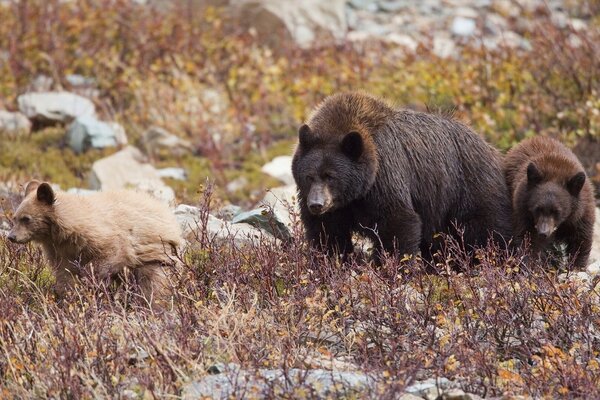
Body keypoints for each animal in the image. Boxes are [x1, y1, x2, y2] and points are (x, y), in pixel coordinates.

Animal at [7, 182, 183, 306]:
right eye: (15, 218)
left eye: (26, 218)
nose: (11, 237)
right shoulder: (58, 249)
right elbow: (65, 274)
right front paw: (68, 297)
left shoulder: (101, 237)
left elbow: (110, 255)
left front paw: (90, 283)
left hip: (157, 255)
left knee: (152, 284)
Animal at [290, 92, 510, 264]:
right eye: (309, 176)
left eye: (331, 176)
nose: (316, 204)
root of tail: (490, 147)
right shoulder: (336, 208)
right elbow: (327, 233)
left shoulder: (385, 176)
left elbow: (397, 222)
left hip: (468, 185)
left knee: (488, 229)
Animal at [506, 135, 596, 268]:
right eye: (538, 209)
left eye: (557, 211)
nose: (543, 232)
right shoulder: (523, 210)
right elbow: (527, 239)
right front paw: (528, 265)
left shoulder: (581, 214)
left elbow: (581, 240)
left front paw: (577, 266)